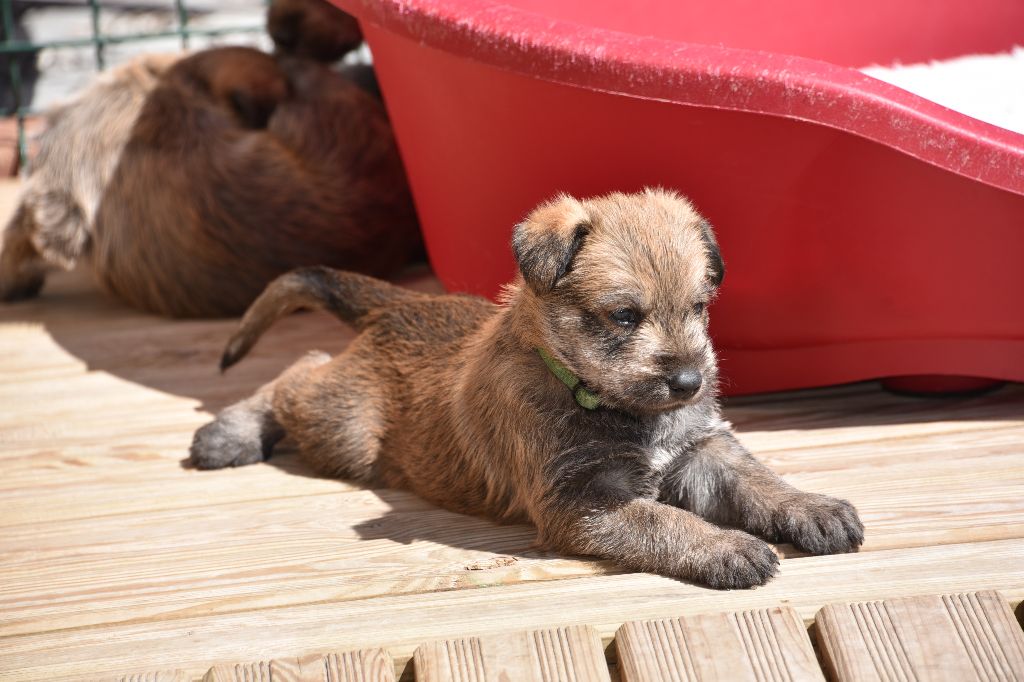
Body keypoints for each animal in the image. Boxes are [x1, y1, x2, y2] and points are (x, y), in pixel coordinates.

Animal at [188, 188, 860, 585]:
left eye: (699, 307)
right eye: (624, 316)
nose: (690, 382)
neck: (597, 397)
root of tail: (400, 304)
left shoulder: (702, 450)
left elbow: (757, 480)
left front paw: (812, 508)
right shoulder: (583, 503)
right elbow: (663, 522)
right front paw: (727, 548)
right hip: (343, 427)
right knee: (296, 372)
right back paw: (227, 433)